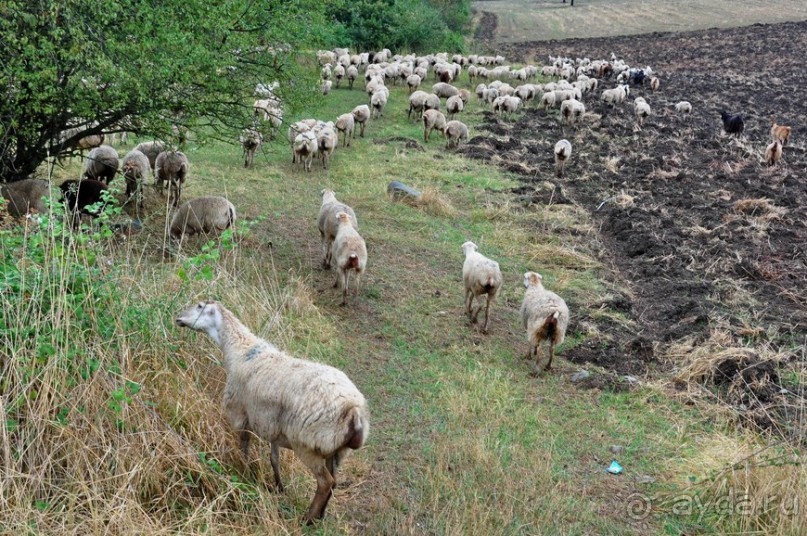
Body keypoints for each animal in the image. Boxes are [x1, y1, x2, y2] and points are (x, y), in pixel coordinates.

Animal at [175, 302, 370, 524]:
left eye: (199, 305)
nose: (178, 318)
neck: (241, 350)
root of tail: (353, 410)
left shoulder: (241, 416)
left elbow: (244, 451)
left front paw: (245, 475)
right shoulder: (272, 428)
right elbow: (274, 459)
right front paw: (278, 487)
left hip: (306, 445)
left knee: (325, 482)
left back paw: (308, 519)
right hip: (337, 450)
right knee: (334, 481)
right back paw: (320, 516)